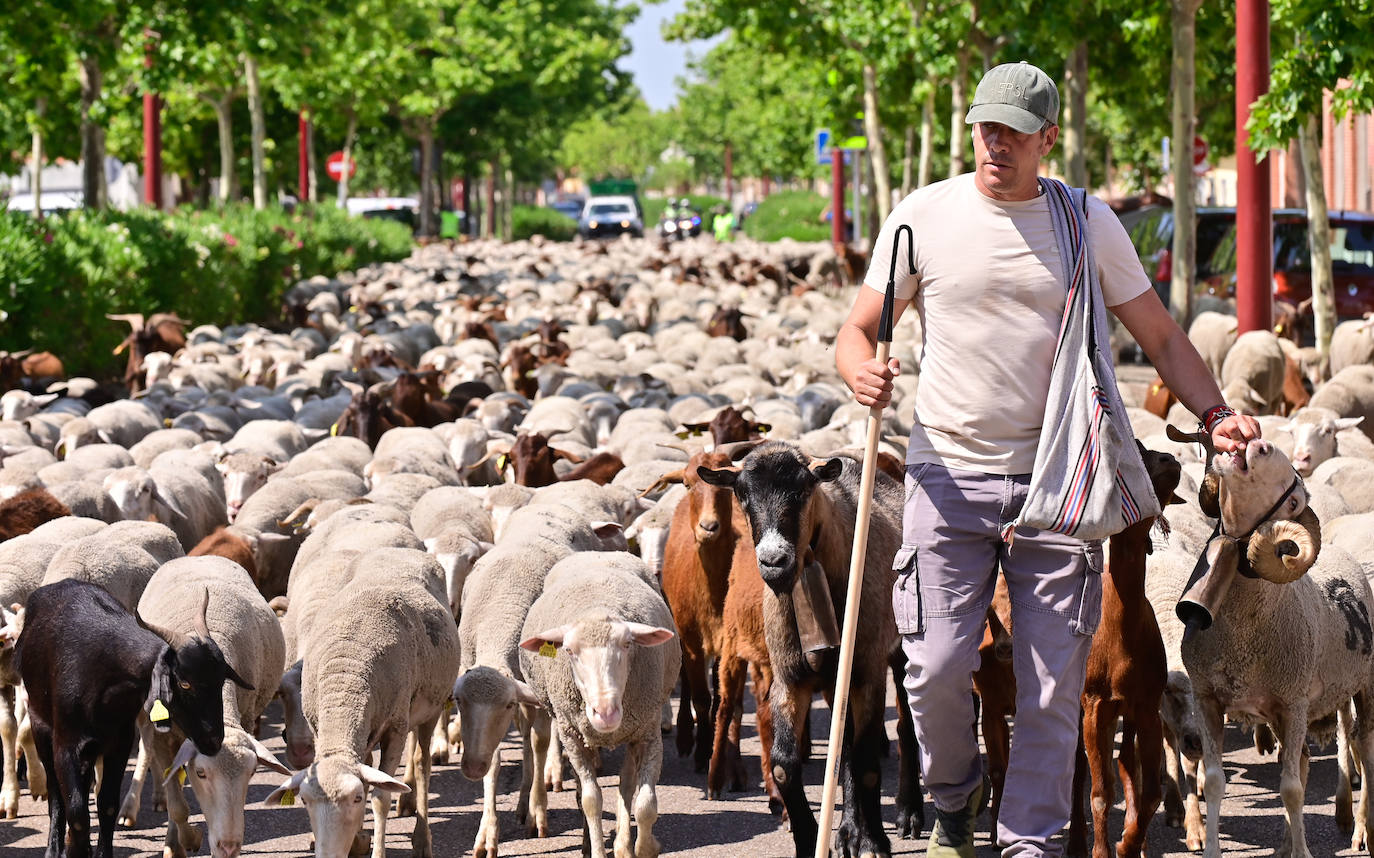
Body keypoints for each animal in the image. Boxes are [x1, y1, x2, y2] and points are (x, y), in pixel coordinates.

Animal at [15, 580, 250, 852]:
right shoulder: (66, 746)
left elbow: (107, 806)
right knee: (56, 794)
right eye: (185, 683)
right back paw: (55, 847)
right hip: (41, 726)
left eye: (221, 680)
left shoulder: (119, 742)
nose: (213, 741)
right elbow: (76, 813)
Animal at [118, 555, 289, 858]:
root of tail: (198, 556)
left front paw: (184, 840)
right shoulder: (163, 736)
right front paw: (188, 840)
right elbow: (177, 806)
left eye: (252, 773)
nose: (230, 846)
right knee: (147, 751)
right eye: (185, 683)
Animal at [265, 550, 458, 858]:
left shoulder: (396, 727)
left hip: (432, 707)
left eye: (355, 799)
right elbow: (368, 776)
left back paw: (421, 839)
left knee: (422, 765)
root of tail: (400, 551)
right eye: (304, 801)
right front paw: (357, 842)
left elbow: (380, 796)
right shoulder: (318, 728)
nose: (329, 855)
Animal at [516, 552, 678, 858]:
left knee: (626, 784)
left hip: (632, 730)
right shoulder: (572, 737)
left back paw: (624, 844)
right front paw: (598, 849)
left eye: (628, 644)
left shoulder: (648, 733)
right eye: (568, 650)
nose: (606, 713)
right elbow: (591, 801)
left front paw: (645, 847)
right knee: (583, 790)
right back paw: (587, 842)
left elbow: (646, 805)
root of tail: (596, 553)